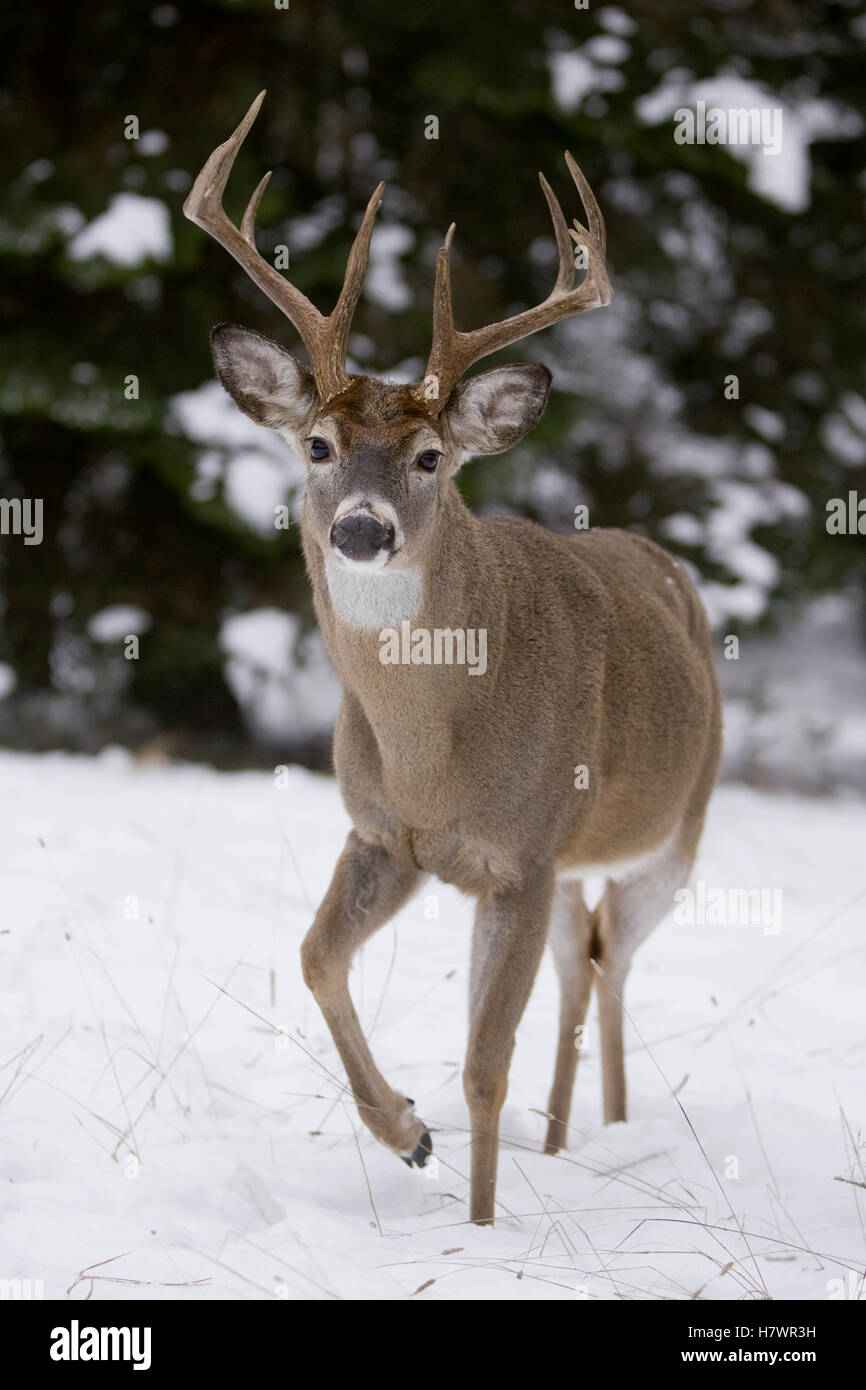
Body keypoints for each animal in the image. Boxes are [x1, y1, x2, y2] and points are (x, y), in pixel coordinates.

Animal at [184, 92, 722, 1226]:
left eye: (431, 457)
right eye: (317, 445)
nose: (360, 528)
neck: (432, 745)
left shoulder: (518, 856)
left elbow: (482, 1064)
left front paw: (476, 1224)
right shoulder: (392, 837)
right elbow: (314, 958)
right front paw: (406, 1133)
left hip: (673, 830)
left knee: (611, 960)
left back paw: (609, 1132)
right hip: (565, 866)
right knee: (583, 956)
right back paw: (561, 1141)